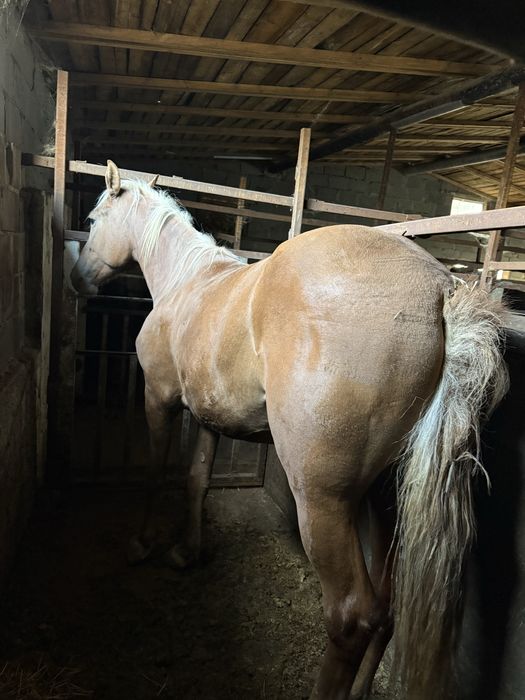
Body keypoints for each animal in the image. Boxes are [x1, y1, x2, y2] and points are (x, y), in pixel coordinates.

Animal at [71, 160, 508, 700]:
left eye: (93, 220)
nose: (77, 280)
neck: (187, 283)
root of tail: (440, 292)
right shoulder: (209, 417)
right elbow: (197, 480)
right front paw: (187, 552)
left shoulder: (159, 399)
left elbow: (155, 475)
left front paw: (142, 544)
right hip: (386, 495)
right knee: (386, 608)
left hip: (323, 501)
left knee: (351, 615)